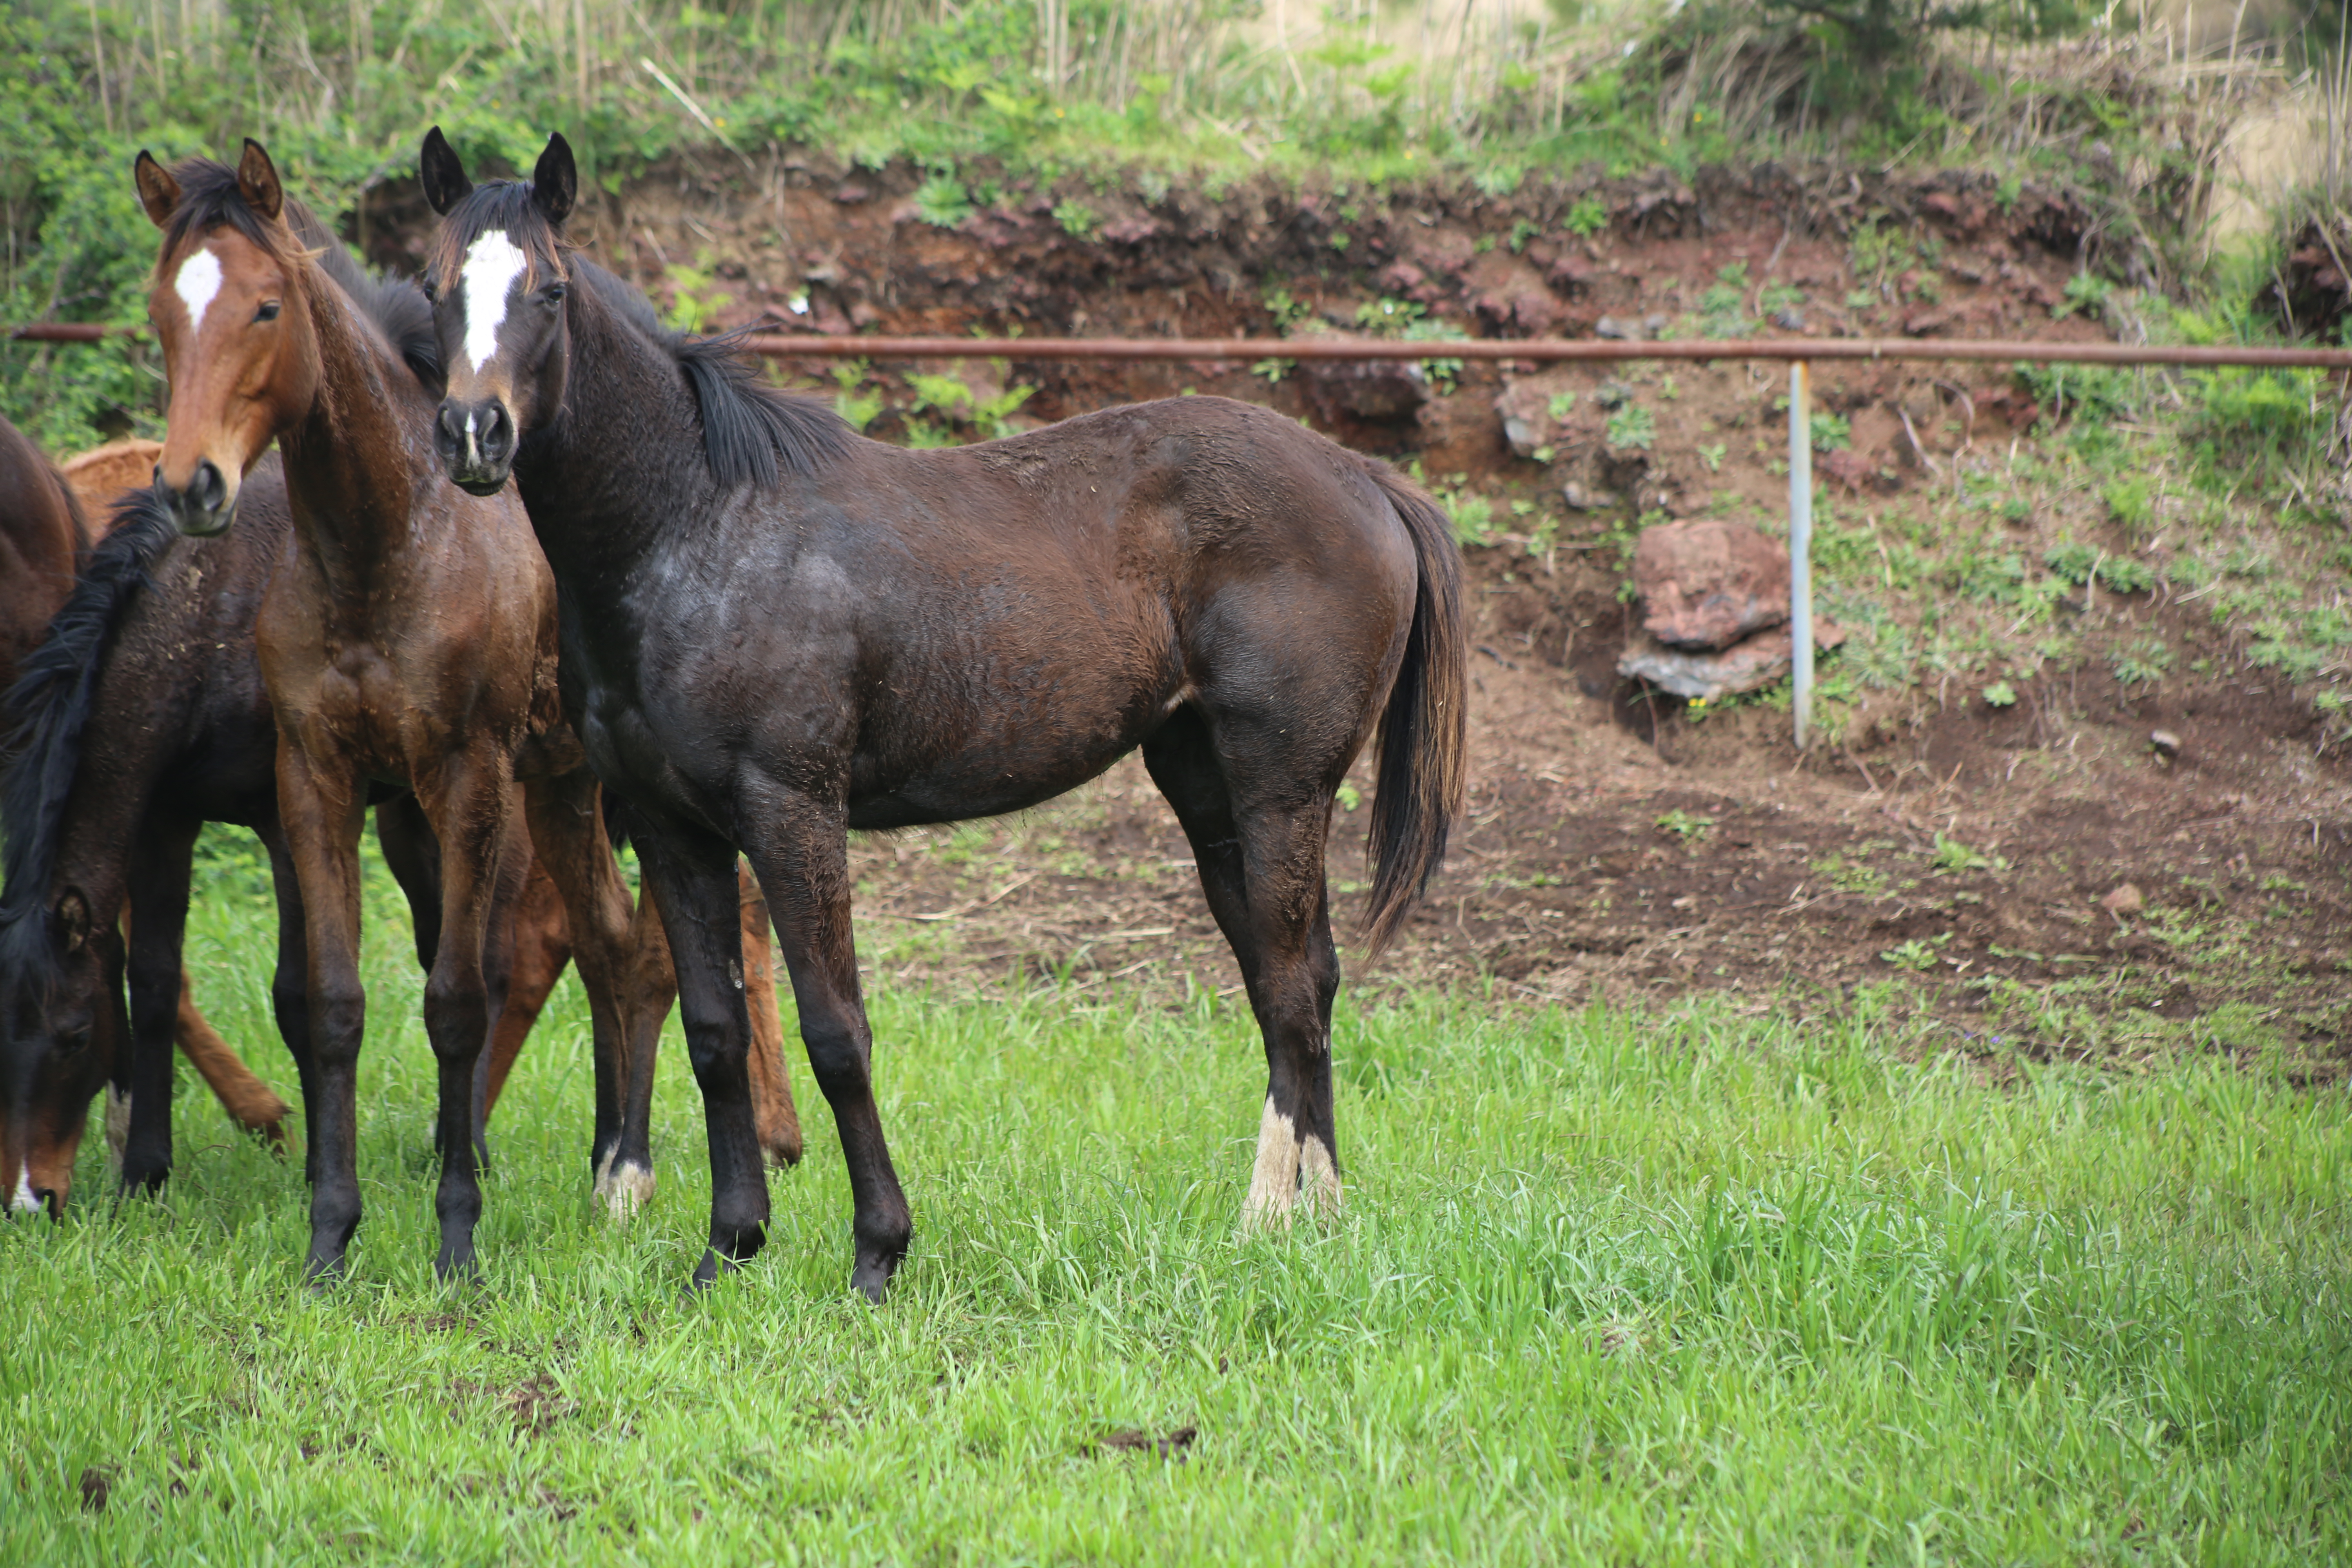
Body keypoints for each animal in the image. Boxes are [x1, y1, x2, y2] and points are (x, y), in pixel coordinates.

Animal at [140, 141, 800, 1278]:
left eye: (267, 306)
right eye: (162, 312)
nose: (194, 486)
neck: (382, 547)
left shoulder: (466, 776)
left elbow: (457, 999)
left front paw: (457, 1238)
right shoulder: (319, 776)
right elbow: (334, 1006)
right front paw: (331, 1238)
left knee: (631, 953)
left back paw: (629, 1170)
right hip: (560, 791)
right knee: (610, 945)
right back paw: (607, 1164)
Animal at [414, 129, 1458, 1297]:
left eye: (548, 290)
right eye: (434, 288)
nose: (474, 434)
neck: (698, 527)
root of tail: (1364, 478)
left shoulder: (791, 813)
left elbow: (836, 1032)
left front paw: (878, 1250)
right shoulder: (672, 826)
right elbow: (716, 1032)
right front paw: (729, 1247)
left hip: (1281, 791)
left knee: (1285, 985)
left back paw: (1268, 1216)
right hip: (1208, 792)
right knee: (1306, 977)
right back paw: (1319, 1212)